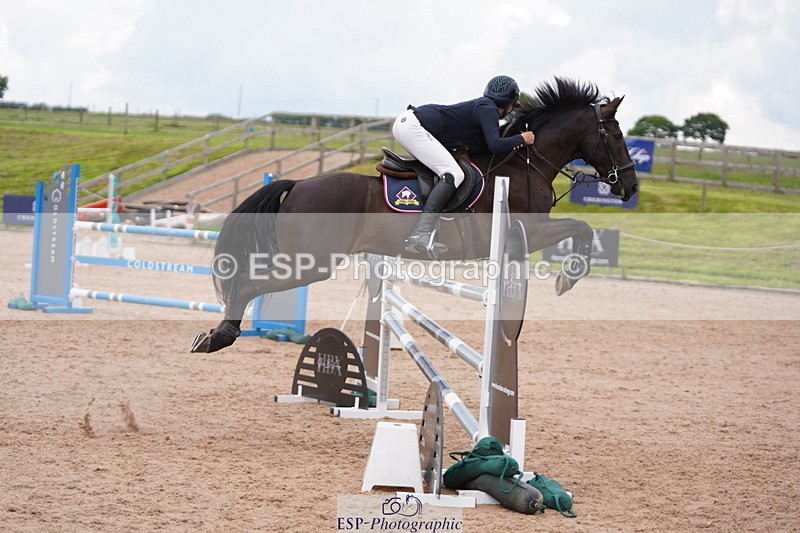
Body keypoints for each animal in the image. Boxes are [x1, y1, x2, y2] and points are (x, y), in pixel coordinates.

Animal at [191, 77, 638, 353]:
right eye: (617, 135)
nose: (630, 188)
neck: (525, 163)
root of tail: (299, 184)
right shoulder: (530, 228)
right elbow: (582, 226)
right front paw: (569, 277)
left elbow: (582, 226)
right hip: (312, 262)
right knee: (249, 283)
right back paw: (219, 336)